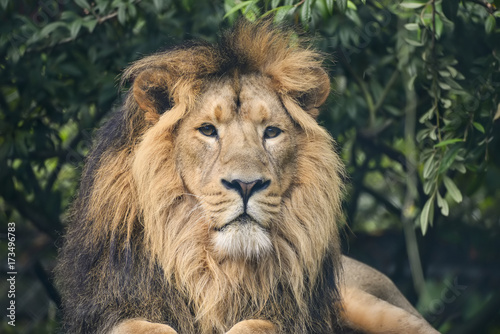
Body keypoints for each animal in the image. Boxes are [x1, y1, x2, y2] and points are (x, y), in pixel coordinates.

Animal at [55, 19, 438, 332]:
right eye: (208, 130)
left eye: (271, 132)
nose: (246, 184)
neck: (215, 270)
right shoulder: (114, 307)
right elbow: (148, 327)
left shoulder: (291, 315)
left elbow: (255, 324)